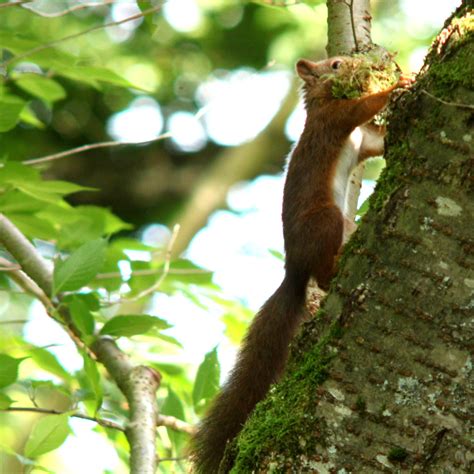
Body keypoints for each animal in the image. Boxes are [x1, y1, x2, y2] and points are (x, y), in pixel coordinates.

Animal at [191, 56, 410, 474]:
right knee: (322, 276)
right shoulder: (332, 120)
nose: (353, 64)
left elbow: (375, 141)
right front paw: (398, 85)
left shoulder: (361, 140)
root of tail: (293, 269)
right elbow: (360, 109)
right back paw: (335, 269)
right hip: (325, 221)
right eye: (336, 64)